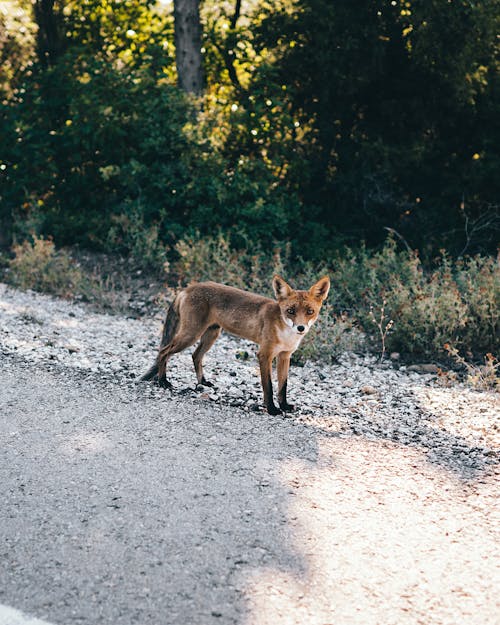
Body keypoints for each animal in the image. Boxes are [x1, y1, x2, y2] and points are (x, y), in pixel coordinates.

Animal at [141, 274, 330, 414]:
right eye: (290, 311)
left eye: (310, 311)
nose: (300, 328)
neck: (285, 333)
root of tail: (188, 287)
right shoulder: (264, 355)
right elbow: (268, 386)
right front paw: (272, 409)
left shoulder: (285, 356)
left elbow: (283, 386)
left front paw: (284, 406)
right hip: (190, 335)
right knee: (164, 352)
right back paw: (163, 381)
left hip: (211, 335)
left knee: (195, 355)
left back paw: (202, 382)